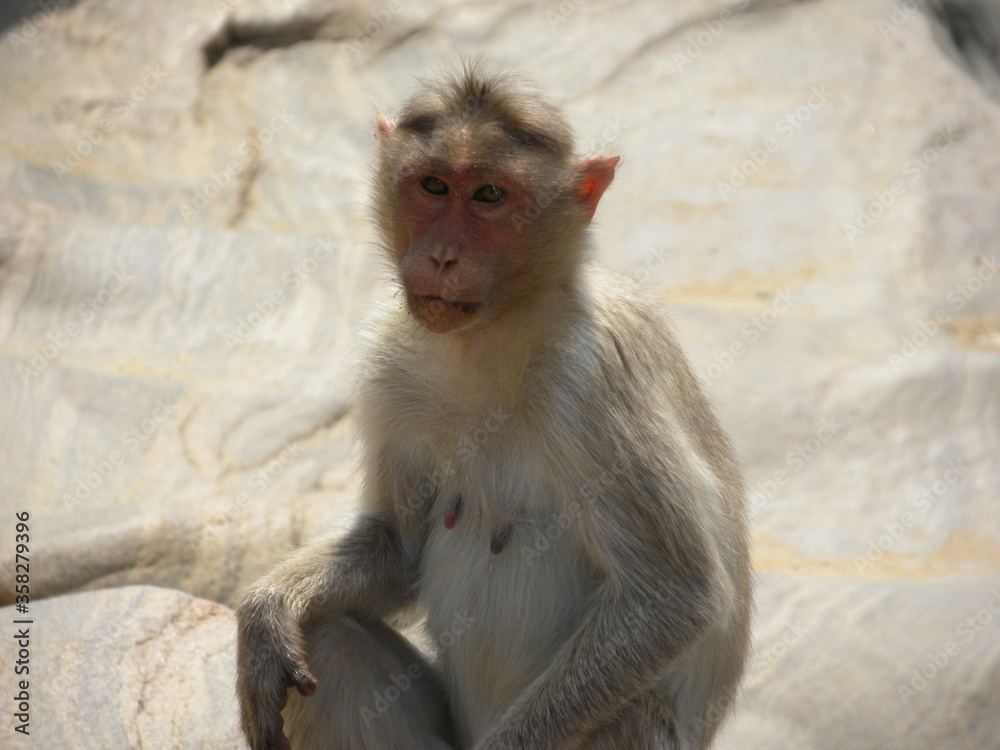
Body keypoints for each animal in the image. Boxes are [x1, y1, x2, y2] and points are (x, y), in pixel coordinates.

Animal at [234, 63, 752, 750]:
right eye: (433, 185)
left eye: (488, 196)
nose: (441, 256)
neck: (491, 334)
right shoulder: (389, 360)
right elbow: (397, 546)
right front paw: (268, 610)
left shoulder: (590, 379)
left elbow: (673, 596)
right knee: (331, 637)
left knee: (626, 714)